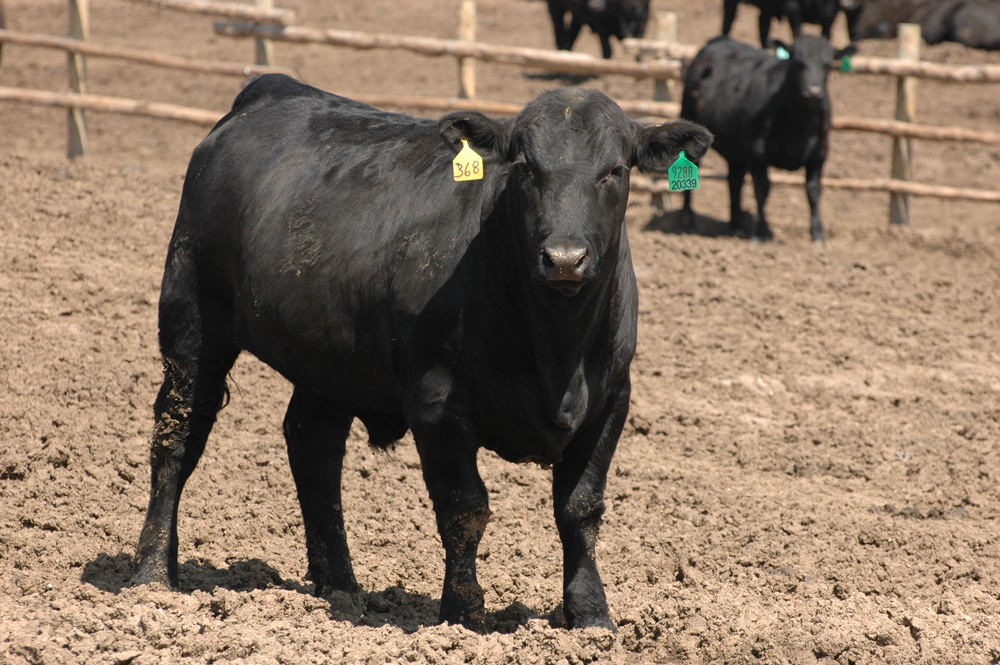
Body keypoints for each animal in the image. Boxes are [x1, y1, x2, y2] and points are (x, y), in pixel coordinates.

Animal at [131, 75, 712, 632]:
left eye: (615, 170)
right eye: (525, 167)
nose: (565, 258)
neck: (557, 349)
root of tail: (266, 93)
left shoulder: (612, 398)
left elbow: (580, 508)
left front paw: (591, 614)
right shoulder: (438, 402)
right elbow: (464, 509)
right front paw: (463, 614)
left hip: (329, 362)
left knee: (313, 446)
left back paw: (340, 587)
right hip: (191, 315)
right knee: (177, 437)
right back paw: (152, 574)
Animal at [684, 34, 856, 241]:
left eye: (828, 64)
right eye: (798, 62)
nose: (813, 92)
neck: (799, 123)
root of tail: (718, 40)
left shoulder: (820, 153)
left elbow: (813, 190)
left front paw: (818, 233)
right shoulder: (757, 151)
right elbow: (762, 188)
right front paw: (761, 231)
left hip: (736, 151)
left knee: (735, 181)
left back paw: (736, 226)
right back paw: (687, 222)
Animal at [720, 0, 868, 44]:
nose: (849, 5)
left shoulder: (831, 14)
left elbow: (827, 34)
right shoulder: (792, 8)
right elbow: (797, 31)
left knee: (763, 23)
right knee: (728, 20)